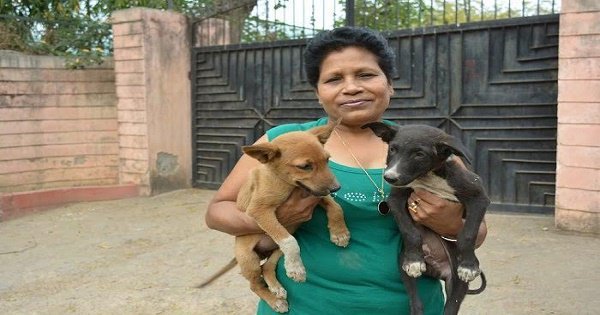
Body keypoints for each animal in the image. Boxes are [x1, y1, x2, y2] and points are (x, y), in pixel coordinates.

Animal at [202, 121, 352, 314]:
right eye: (305, 166)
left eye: (327, 160)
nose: (336, 188)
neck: (288, 184)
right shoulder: (259, 210)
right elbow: (290, 242)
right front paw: (297, 269)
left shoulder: (316, 194)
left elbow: (336, 207)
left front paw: (340, 233)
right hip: (249, 258)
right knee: (255, 283)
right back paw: (275, 300)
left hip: (277, 250)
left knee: (267, 266)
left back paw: (276, 287)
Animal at [360, 123, 488, 315]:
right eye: (392, 149)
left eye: (419, 154)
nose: (390, 177)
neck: (429, 177)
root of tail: (436, 269)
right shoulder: (396, 199)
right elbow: (410, 231)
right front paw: (414, 259)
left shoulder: (478, 196)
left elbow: (468, 233)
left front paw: (468, 265)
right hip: (402, 265)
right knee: (416, 302)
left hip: (456, 282)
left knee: (451, 306)